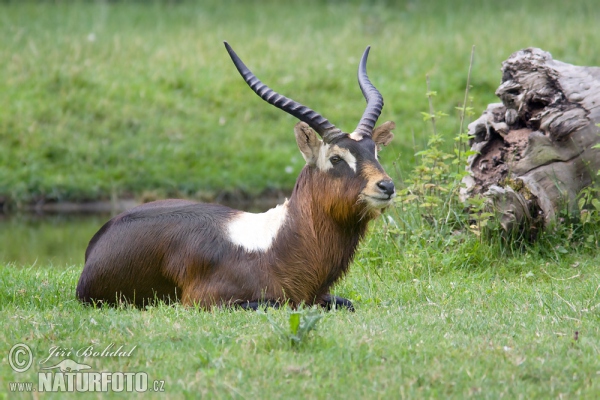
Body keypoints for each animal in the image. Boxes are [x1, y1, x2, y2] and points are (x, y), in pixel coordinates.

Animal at [75, 42, 396, 310]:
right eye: (336, 158)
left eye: (374, 152)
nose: (386, 186)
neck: (277, 245)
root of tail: (99, 238)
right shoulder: (209, 303)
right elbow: (273, 304)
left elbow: (347, 303)